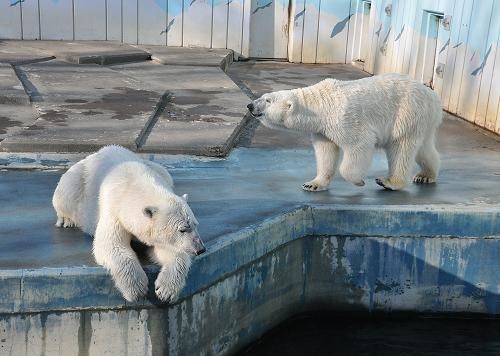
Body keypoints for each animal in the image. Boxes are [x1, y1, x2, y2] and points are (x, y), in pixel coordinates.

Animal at [52, 146, 205, 302]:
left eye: (195, 224)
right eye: (182, 229)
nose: (200, 249)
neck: (134, 183)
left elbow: (169, 249)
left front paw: (165, 290)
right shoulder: (114, 212)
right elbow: (112, 245)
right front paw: (137, 289)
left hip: (160, 169)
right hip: (77, 180)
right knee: (66, 193)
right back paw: (67, 220)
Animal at [246, 72, 442, 193]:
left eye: (268, 100)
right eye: (262, 96)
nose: (250, 105)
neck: (320, 105)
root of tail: (433, 97)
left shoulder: (344, 118)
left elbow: (360, 144)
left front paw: (358, 181)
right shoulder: (323, 130)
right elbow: (326, 152)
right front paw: (312, 184)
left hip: (406, 113)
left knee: (401, 147)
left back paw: (389, 182)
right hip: (423, 120)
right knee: (424, 149)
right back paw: (425, 176)